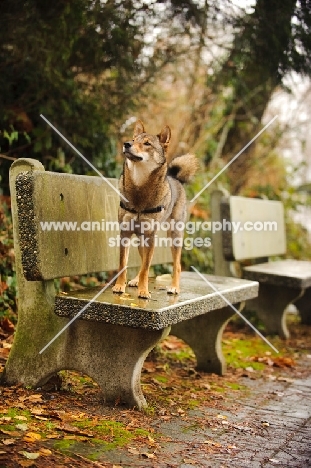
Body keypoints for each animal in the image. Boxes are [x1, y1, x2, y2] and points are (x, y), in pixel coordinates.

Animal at [113, 119, 199, 298]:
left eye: (147, 144)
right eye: (133, 139)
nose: (126, 144)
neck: (139, 189)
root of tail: (174, 177)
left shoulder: (151, 236)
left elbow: (146, 268)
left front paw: (143, 290)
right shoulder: (125, 233)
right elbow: (123, 264)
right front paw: (119, 286)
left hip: (173, 236)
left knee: (176, 265)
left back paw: (174, 287)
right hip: (141, 240)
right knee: (143, 261)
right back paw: (135, 280)